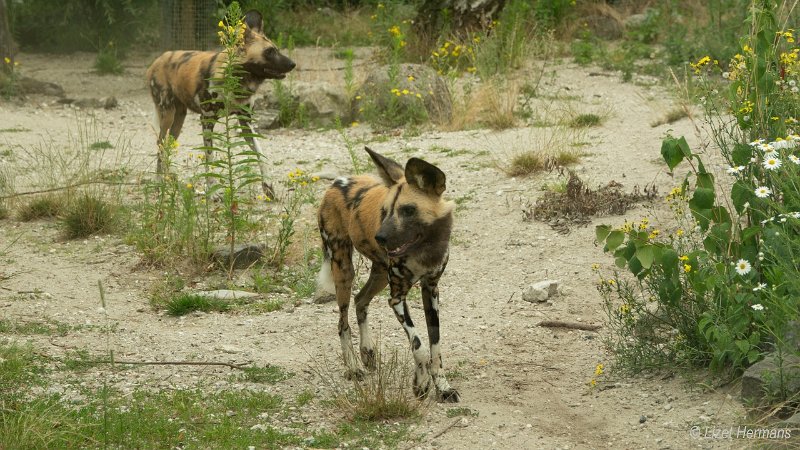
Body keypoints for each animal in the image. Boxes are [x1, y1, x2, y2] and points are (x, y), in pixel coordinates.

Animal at [145, 9, 294, 196]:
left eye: (276, 50)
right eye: (269, 52)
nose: (293, 64)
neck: (239, 81)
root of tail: (158, 59)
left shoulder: (246, 122)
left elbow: (260, 154)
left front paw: (267, 186)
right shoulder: (207, 120)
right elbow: (210, 158)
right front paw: (212, 192)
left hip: (179, 120)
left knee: (168, 146)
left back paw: (169, 181)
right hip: (167, 116)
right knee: (160, 145)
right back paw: (159, 183)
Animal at [318, 146, 460, 402]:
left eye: (408, 210)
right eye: (384, 212)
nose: (380, 237)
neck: (423, 249)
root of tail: (337, 182)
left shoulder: (431, 290)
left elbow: (435, 347)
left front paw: (443, 387)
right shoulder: (397, 298)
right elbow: (419, 346)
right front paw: (421, 385)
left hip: (380, 275)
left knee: (360, 300)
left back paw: (367, 352)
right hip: (343, 270)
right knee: (343, 323)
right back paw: (353, 367)